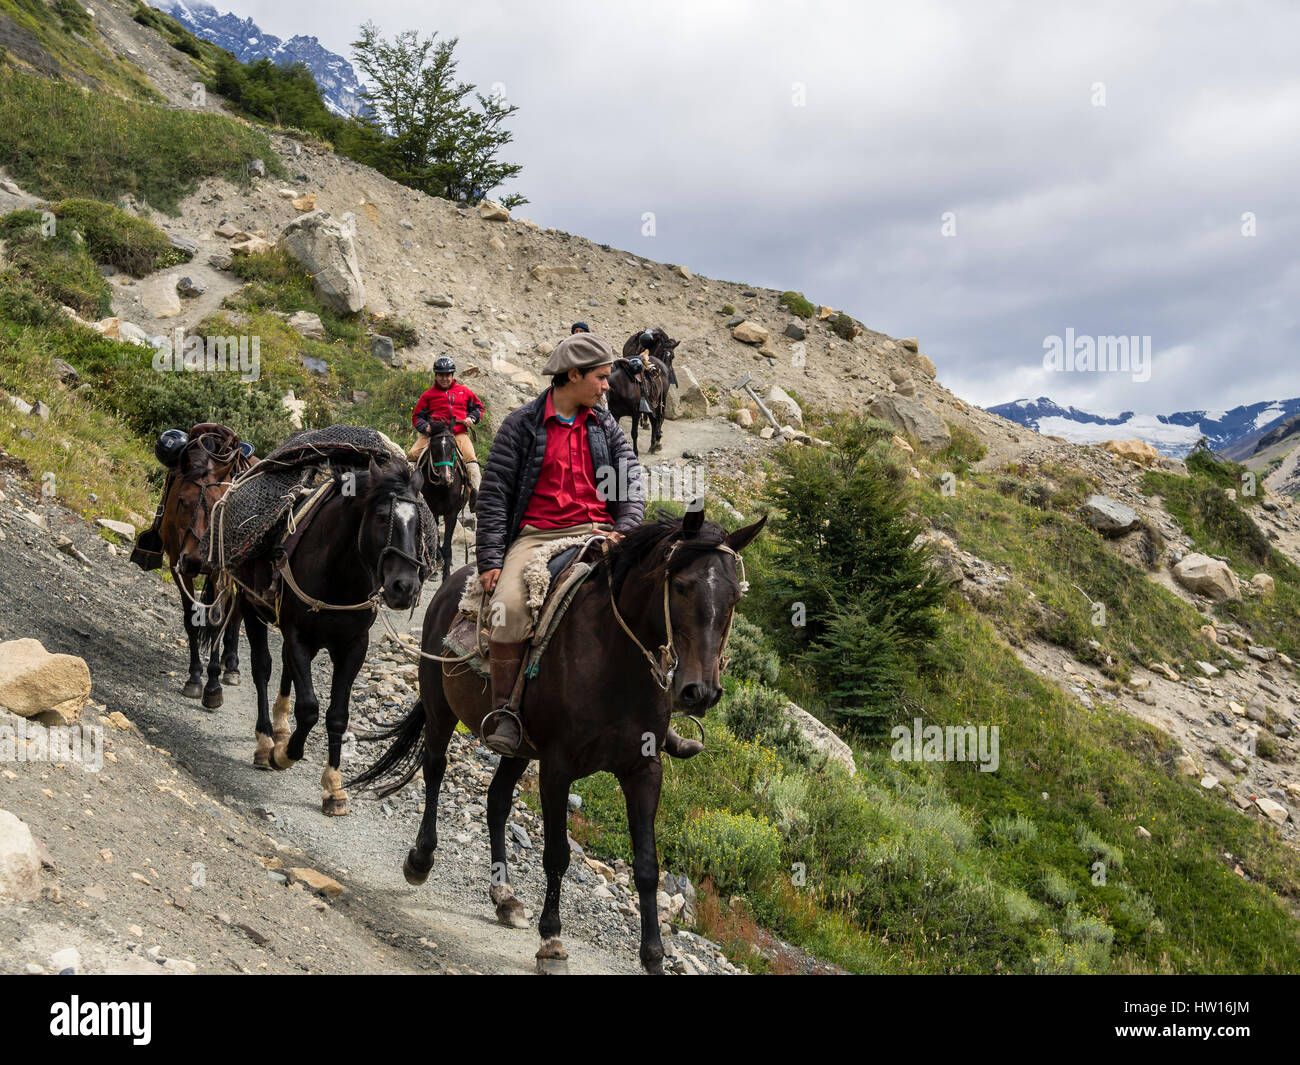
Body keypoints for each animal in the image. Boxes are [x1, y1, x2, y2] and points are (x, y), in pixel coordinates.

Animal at [351, 507, 764, 972]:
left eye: (734, 598)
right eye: (681, 586)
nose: (700, 692)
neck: (615, 663)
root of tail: (452, 583)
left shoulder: (643, 769)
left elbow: (647, 866)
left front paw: (654, 956)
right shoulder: (557, 767)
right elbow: (557, 856)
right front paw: (551, 940)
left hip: (517, 747)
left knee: (497, 801)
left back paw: (505, 897)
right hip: (442, 710)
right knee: (436, 770)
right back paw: (421, 859)